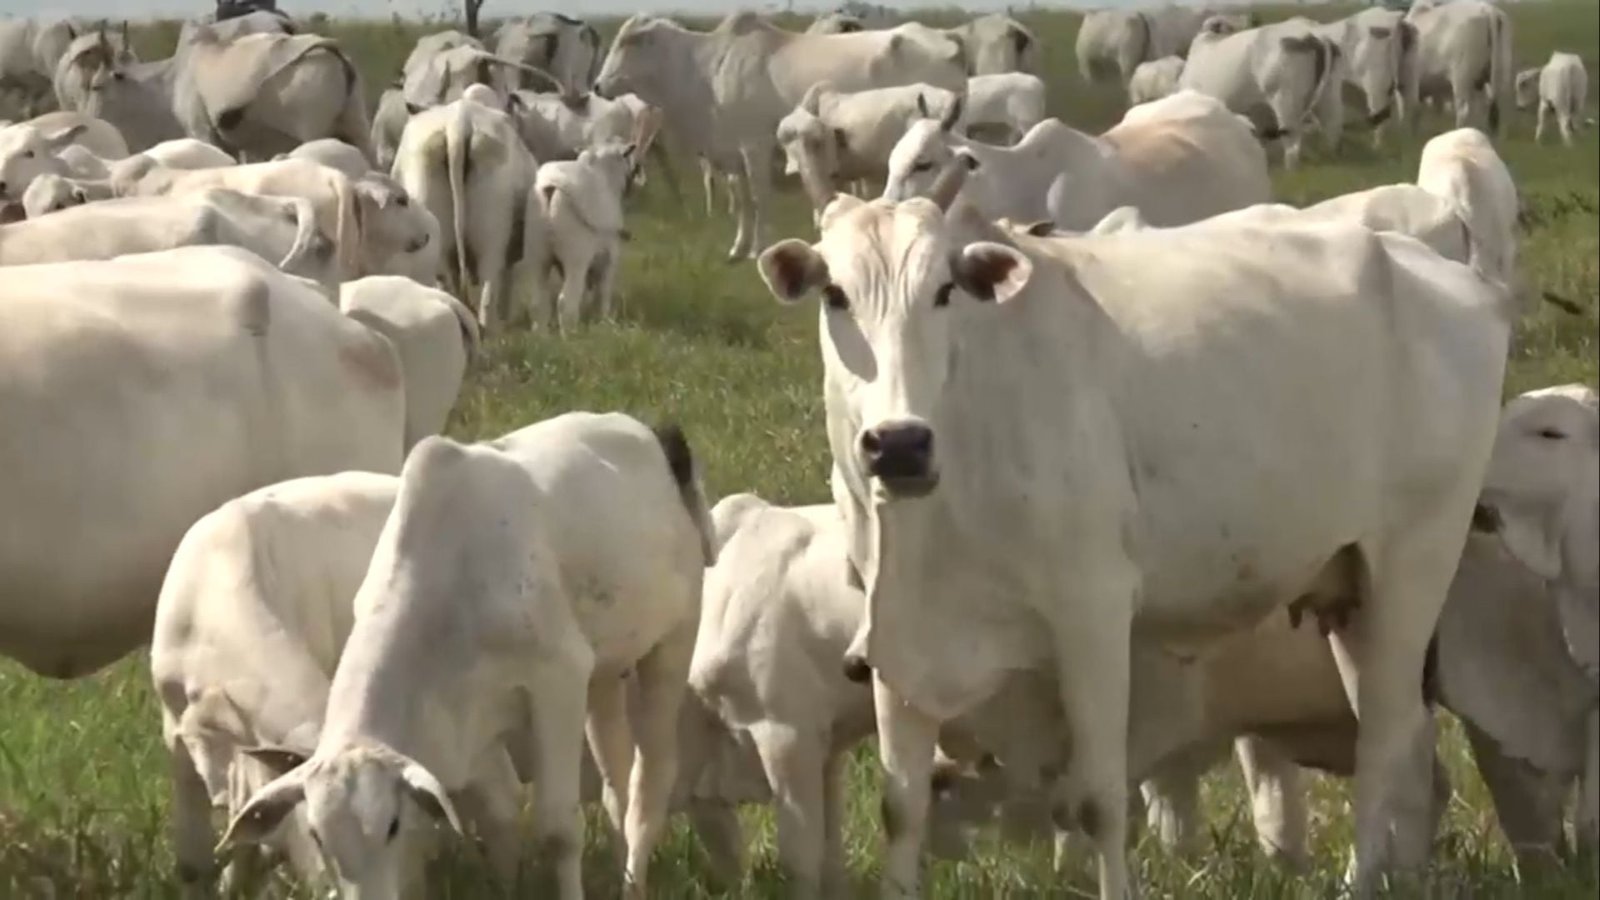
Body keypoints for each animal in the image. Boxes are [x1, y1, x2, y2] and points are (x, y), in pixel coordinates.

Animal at [224, 412, 715, 900]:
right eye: (318, 837)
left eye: (393, 825)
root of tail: (653, 437)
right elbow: (498, 817)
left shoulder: (559, 680)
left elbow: (557, 830)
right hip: (606, 678)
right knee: (617, 785)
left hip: (673, 642)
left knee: (650, 782)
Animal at [593, 11, 968, 260]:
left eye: (628, 42)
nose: (597, 85)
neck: (706, 69)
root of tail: (948, 41)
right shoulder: (733, 154)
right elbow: (742, 198)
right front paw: (738, 247)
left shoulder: (754, 147)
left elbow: (760, 198)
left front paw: (758, 249)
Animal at [754, 149, 1515, 899]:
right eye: (834, 294)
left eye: (945, 291)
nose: (901, 444)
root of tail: (1441, 274)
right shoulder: (897, 634)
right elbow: (902, 805)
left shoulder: (1092, 614)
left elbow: (1097, 801)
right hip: (1348, 591)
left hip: (1414, 564)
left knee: (1384, 737)